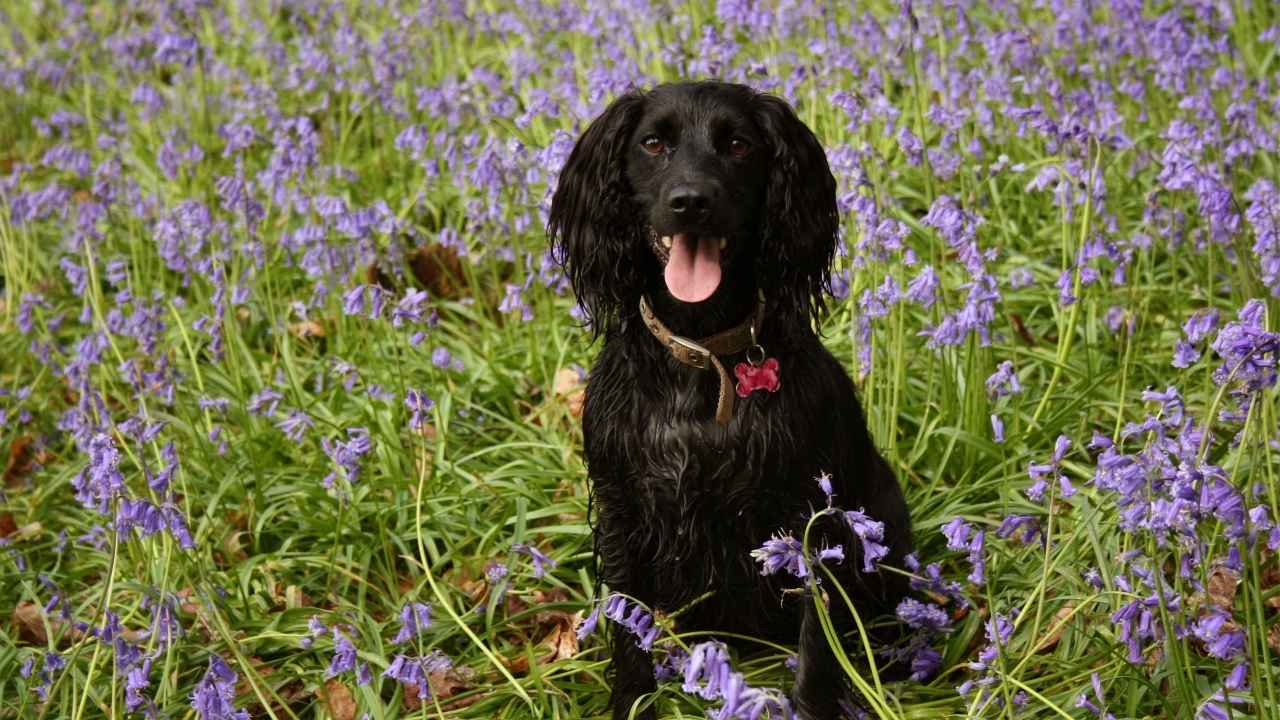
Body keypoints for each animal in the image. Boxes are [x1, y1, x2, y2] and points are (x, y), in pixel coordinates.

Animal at [547, 81, 911, 712]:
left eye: (739, 144)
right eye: (652, 143)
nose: (690, 201)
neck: (704, 360)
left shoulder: (810, 517)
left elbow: (817, 646)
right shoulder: (622, 505)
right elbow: (627, 631)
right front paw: (634, 703)